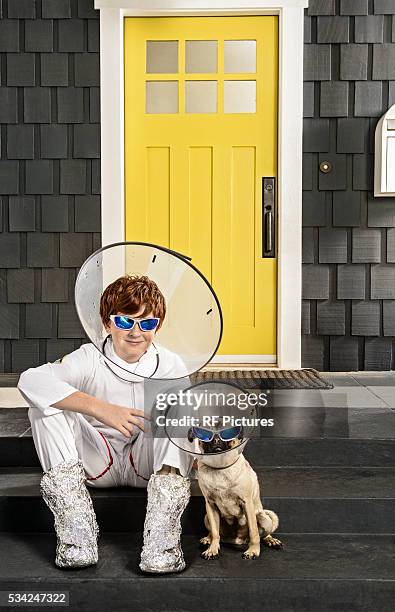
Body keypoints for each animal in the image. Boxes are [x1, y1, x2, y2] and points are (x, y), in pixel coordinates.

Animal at [188, 426, 284, 560]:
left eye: (227, 432)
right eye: (205, 433)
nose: (216, 439)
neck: (219, 468)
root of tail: (236, 540)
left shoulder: (246, 503)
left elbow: (254, 532)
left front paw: (253, 551)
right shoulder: (210, 505)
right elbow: (215, 532)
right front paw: (212, 549)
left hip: (263, 517)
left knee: (263, 534)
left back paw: (271, 540)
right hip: (207, 516)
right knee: (214, 532)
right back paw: (208, 539)